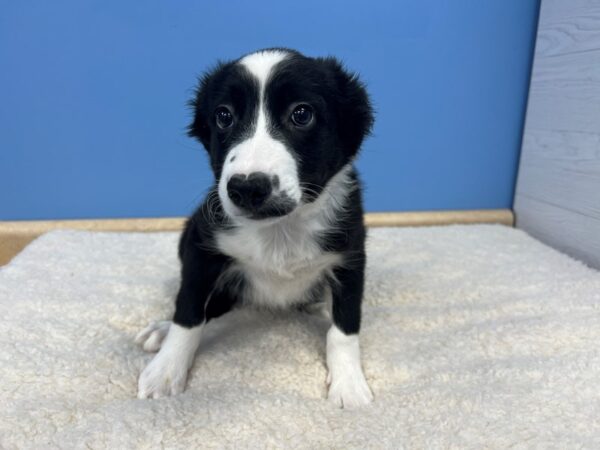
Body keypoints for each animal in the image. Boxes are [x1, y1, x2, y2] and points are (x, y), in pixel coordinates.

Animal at [135, 48, 376, 408]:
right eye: (224, 116)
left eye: (301, 114)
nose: (247, 188)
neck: (281, 230)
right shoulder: (201, 247)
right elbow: (188, 311)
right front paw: (166, 370)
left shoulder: (350, 253)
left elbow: (345, 327)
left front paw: (348, 383)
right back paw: (162, 331)